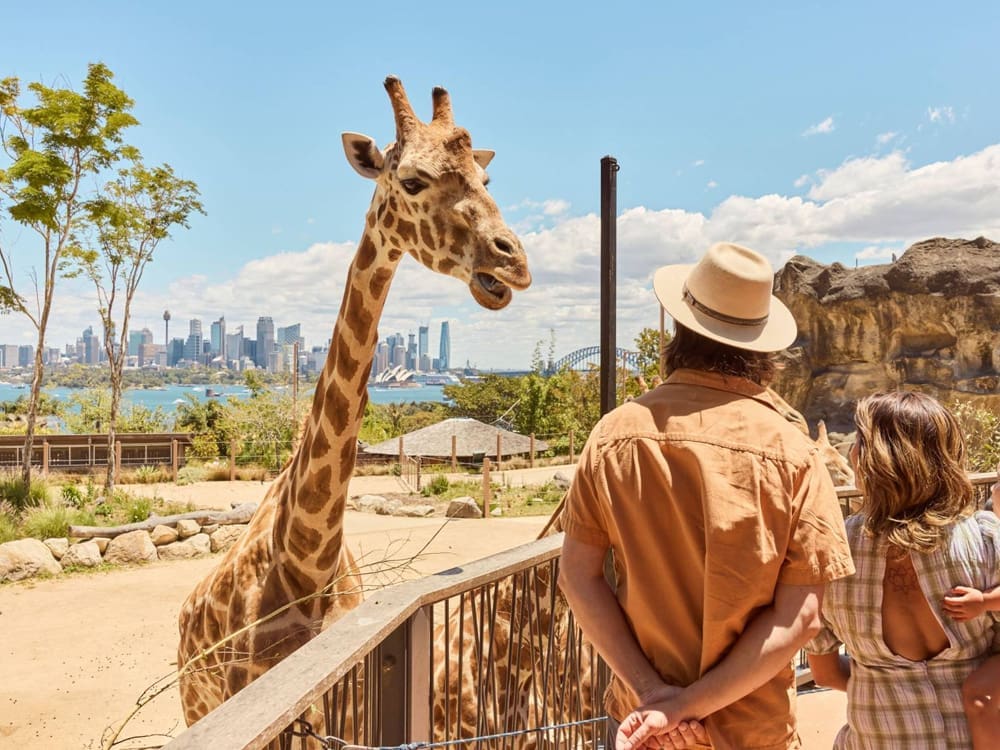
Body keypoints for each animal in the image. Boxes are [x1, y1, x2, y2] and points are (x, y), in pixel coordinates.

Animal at [177, 78, 532, 728]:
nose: (513, 260)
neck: (305, 562)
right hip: (194, 702)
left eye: (486, 177)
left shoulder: (349, 701)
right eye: (412, 180)